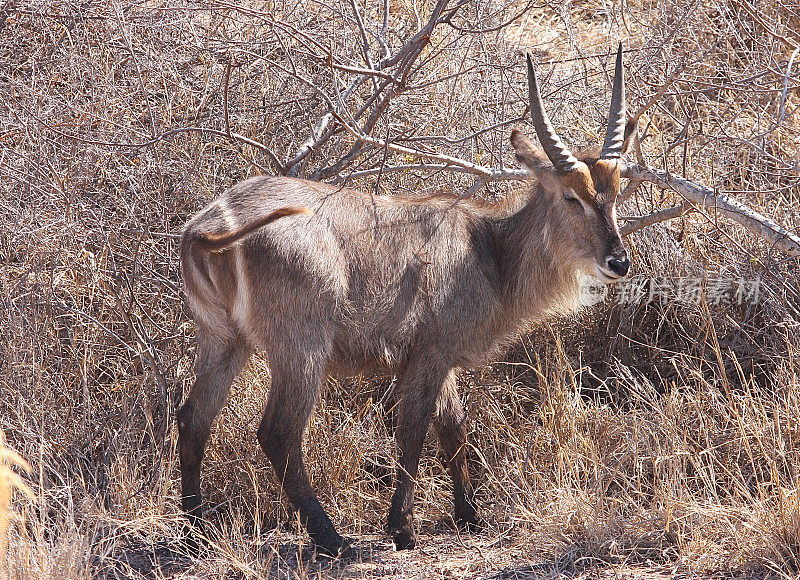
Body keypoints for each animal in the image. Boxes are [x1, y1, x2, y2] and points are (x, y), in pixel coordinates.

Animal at [178, 46, 636, 556]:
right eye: (572, 197)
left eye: (616, 193)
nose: (618, 261)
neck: (490, 250)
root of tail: (207, 225)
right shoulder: (429, 352)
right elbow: (414, 433)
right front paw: (402, 528)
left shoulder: (441, 357)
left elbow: (454, 428)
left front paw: (469, 516)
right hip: (300, 346)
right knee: (278, 432)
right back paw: (331, 538)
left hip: (223, 338)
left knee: (193, 418)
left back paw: (196, 531)